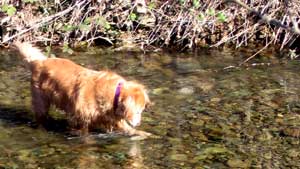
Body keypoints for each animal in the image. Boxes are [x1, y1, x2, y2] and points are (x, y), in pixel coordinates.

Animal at [12, 41, 151, 137]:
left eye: (141, 111)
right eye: (137, 112)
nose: (138, 123)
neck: (113, 95)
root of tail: (39, 61)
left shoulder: (109, 118)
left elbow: (128, 128)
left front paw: (143, 133)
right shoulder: (80, 118)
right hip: (41, 101)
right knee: (40, 117)